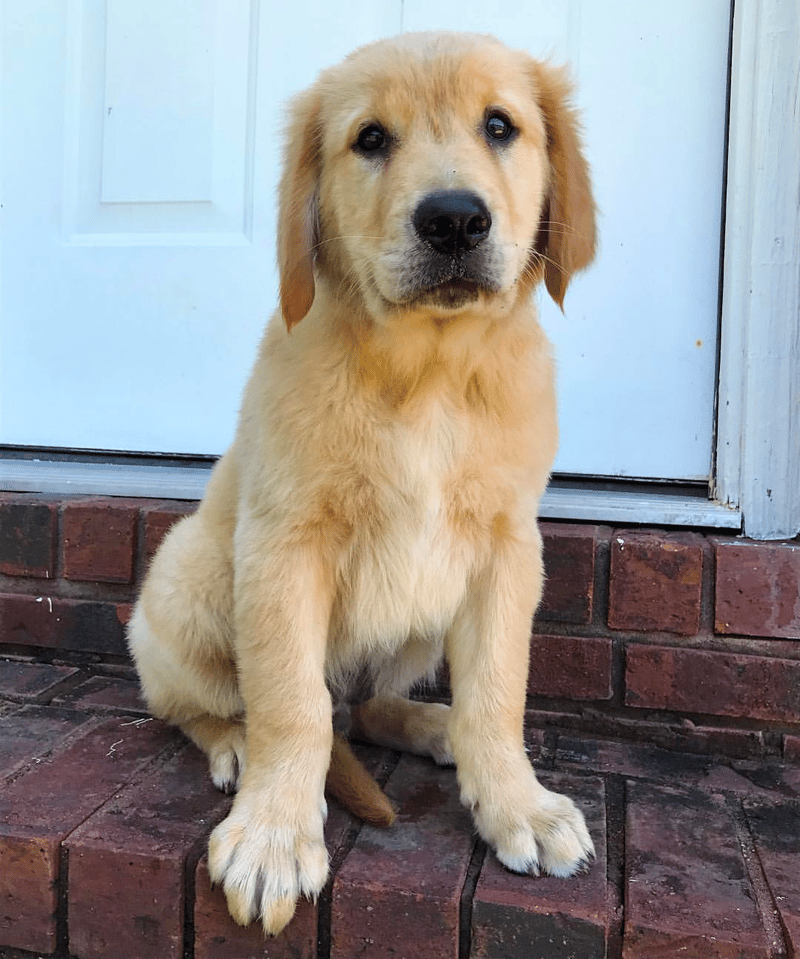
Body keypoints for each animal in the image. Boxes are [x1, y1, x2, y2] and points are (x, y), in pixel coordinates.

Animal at [128, 31, 596, 936]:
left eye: (500, 125)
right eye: (371, 139)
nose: (454, 219)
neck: (429, 372)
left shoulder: (507, 551)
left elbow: (497, 692)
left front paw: (516, 801)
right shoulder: (282, 545)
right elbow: (290, 701)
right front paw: (274, 834)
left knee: (372, 704)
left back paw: (434, 726)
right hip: (191, 577)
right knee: (212, 703)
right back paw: (234, 743)